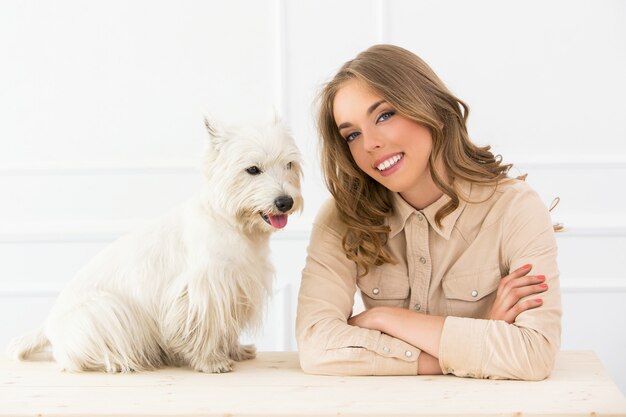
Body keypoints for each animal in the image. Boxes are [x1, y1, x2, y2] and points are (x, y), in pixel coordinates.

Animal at [7, 115, 302, 372]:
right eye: (252, 169)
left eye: (289, 164)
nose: (285, 202)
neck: (234, 225)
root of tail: (47, 326)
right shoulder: (203, 290)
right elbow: (204, 328)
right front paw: (211, 362)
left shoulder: (235, 288)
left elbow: (225, 326)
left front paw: (235, 351)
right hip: (103, 311)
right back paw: (118, 362)